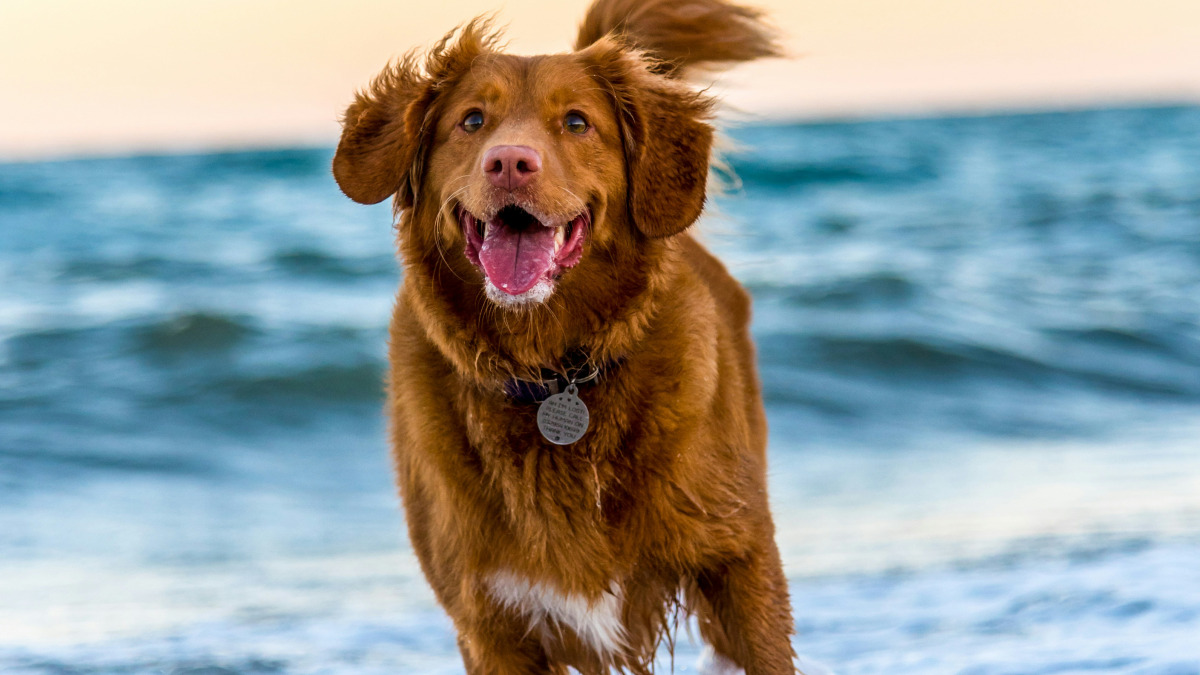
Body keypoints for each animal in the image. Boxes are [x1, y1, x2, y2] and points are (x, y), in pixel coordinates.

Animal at [328, 0, 796, 667]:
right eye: (472, 121)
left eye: (577, 123)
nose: (509, 162)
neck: (552, 370)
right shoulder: (489, 621)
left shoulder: (740, 563)